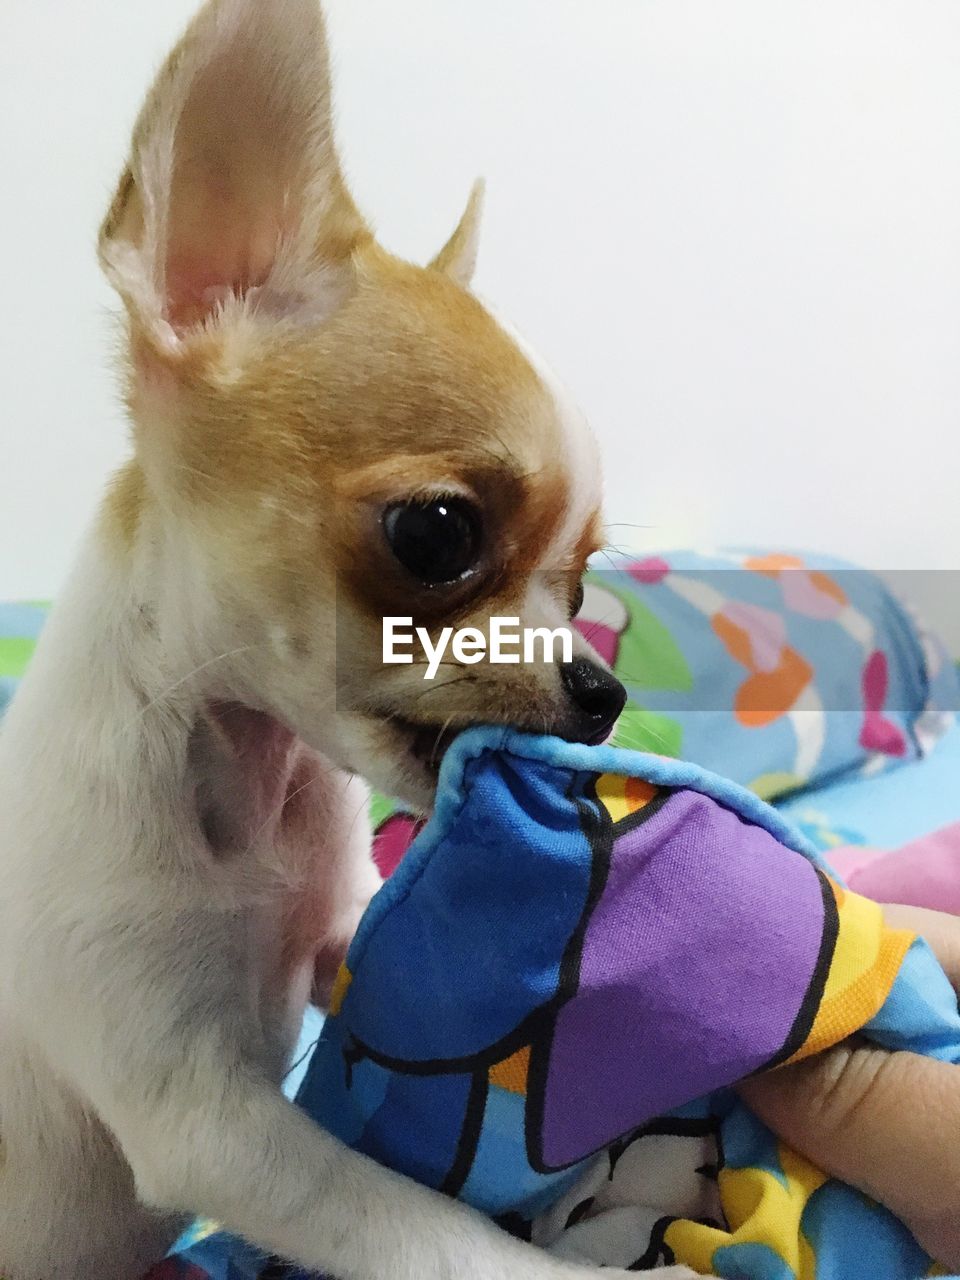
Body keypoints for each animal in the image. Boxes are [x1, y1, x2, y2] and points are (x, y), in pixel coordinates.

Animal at [0, 2, 701, 1280]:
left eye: (582, 582)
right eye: (437, 533)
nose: (601, 687)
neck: (245, 782)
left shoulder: (334, 937)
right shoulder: (208, 1119)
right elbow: (422, 1226)